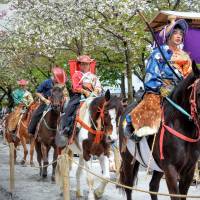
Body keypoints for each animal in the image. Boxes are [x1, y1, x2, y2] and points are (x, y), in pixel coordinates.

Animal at [119, 61, 200, 200]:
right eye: (199, 93)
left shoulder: (189, 170)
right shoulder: (170, 169)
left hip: (156, 166)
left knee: (153, 187)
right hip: (128, 160)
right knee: (128, 186)